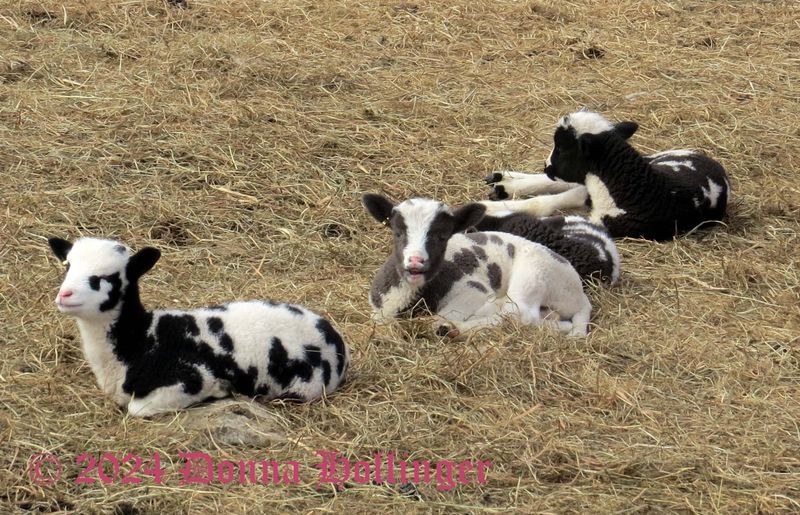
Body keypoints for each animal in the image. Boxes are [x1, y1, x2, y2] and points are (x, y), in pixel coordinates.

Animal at [48, 238, 348, 420]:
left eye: (107, 278)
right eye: (67, 266)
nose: (64, 295)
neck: (141, 340)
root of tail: (336, 339)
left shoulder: (191, 379)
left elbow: (137, 408)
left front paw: (220, 393)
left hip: (304, 387)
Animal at [364, 194, 592, 338]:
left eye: (442, 236)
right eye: (397, 232)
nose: (415, 262)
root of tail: (579, 293)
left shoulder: (473, 289)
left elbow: (445, 315)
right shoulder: (381, 309)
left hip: (534, 274)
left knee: (518, 313)